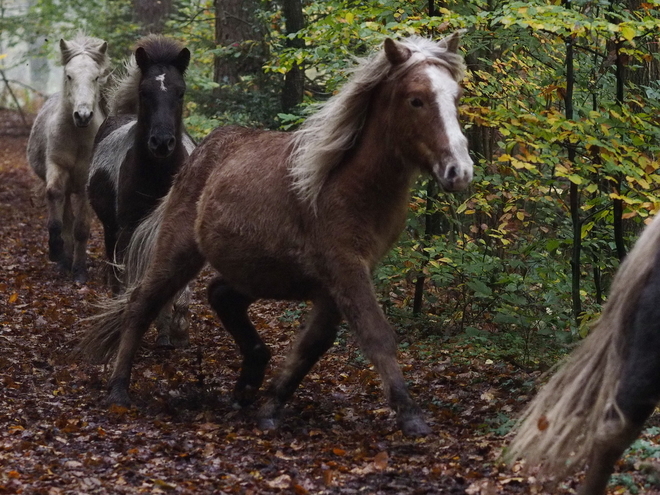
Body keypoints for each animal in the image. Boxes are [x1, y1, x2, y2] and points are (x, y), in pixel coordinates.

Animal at [27, 35, 109, 282]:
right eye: (69, 75)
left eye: (96, 77)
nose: (82, 115)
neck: (77, 135)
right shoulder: (56, 167)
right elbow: (56, 204)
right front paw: (56, 253)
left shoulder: (84, 182)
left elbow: (81, 228)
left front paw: (80, 270)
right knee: (65, 215)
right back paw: (64, 258)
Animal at [77, 33, 474, 436]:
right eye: (416, 99)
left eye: (456, 97)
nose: (459, 171)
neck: (347, 185)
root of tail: (199, 153)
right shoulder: (345, 269)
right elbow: (375, 333)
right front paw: (411, 414)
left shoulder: (337, 280)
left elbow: (313, 343)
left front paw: (271, 406)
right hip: (180, 251)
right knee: (141, 303)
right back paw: (119, 389)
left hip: (259, 272)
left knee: (220, 294)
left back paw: (247, 382)